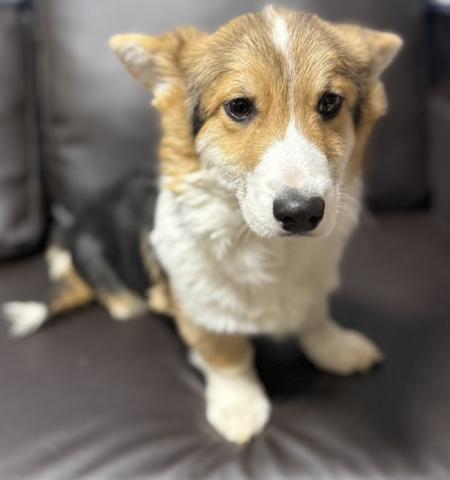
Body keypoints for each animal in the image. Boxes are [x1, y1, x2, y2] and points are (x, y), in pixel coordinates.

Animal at [3, 6, 402, 444]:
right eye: (239, 106)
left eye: (331, 102)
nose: (301, 212)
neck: (266, 246)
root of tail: (75, 223)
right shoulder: (198, 310)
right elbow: (229, 358)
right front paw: (240, 410)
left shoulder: (315, 286)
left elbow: (316, 320)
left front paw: (339, 348)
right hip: (89, 253)